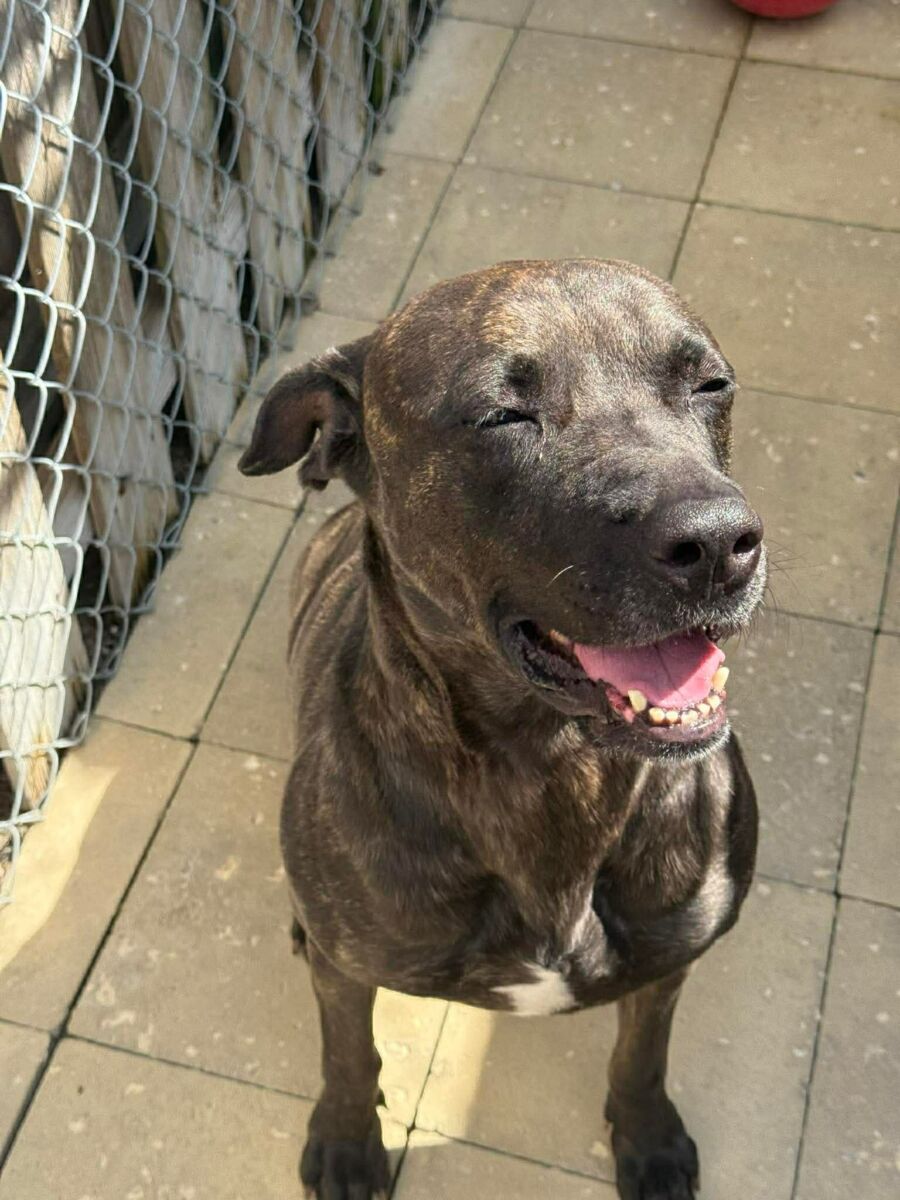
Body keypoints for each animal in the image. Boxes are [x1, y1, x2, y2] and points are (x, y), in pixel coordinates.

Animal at [238, 259, 765, 1200]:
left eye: (711, 384)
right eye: (502, 415)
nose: (717, 542)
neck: (549, 768)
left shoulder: (670, 959)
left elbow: (642, 1055)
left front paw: (648, 1139)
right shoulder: (348, 973)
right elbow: (347, 1055)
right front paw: (345, 1142)